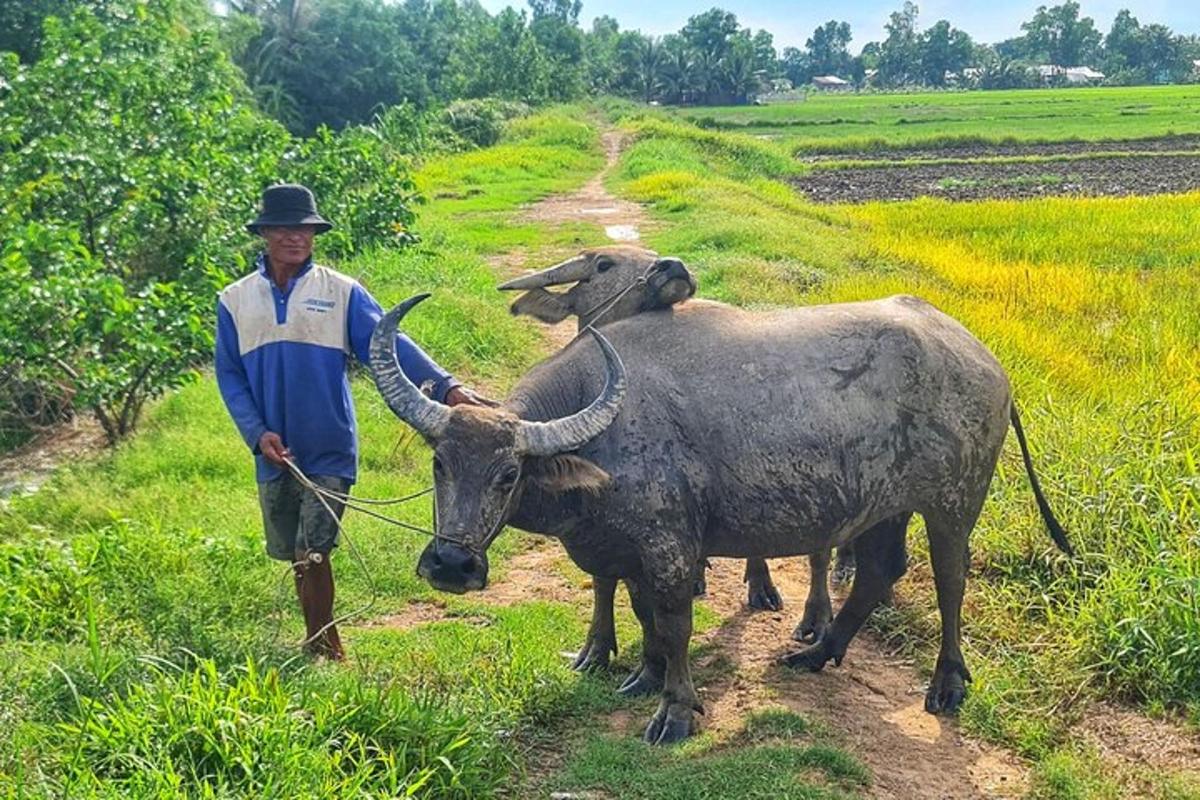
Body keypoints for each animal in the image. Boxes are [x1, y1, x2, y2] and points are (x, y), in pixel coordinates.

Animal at [372, 292, 1070, 743]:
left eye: (508, 474)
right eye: (439, 463)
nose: (451, 564)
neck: (604, 432)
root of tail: (985, 362)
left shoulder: (671, 547)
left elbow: (675, 621)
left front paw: (675, 711)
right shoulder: (629, 550)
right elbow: (641, 612)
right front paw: (644, 677)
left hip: (953, 503)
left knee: (951, 580)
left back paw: (946, 685)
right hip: (884, 507)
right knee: (879, 571)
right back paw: (819, 652)